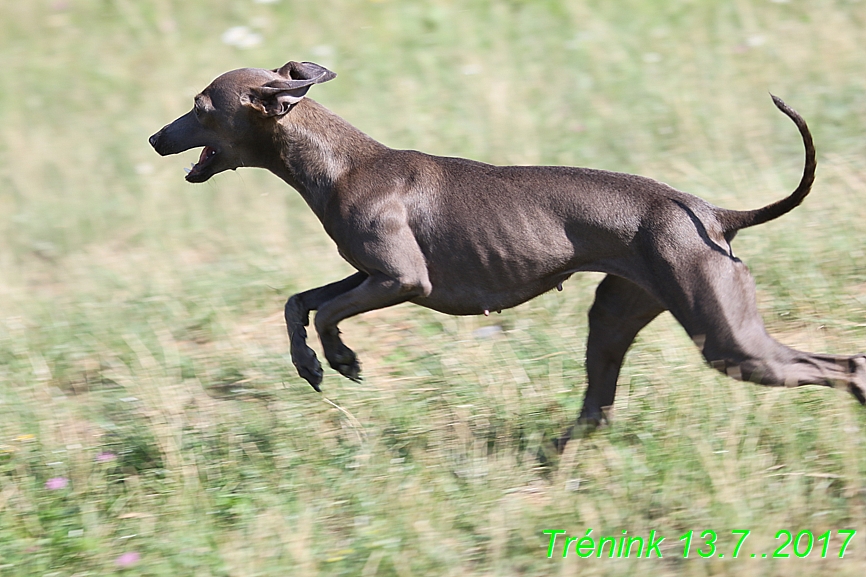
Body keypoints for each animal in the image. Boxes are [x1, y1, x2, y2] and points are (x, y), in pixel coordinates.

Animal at [148, 60, 864, 434]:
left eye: (200, 107)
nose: (155, 138)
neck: (341, 162)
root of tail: (713, 215)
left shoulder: (402, 281)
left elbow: (324, 310)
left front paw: (342, 360)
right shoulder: (368, 274)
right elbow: (299, 301)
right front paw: (310, 365)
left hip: (727, 340)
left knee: (840, 365)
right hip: (620, 318)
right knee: (599, 405)